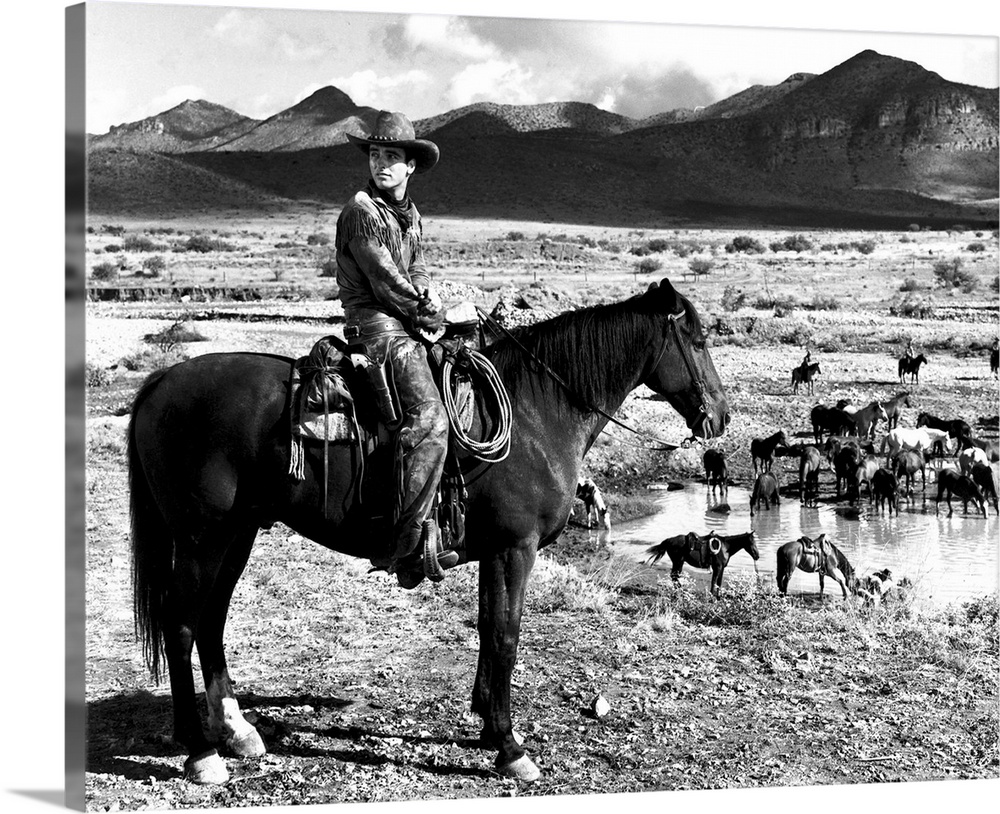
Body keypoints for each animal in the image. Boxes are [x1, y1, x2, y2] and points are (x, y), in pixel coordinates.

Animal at [129, 278, 732, 784]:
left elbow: (488, 628)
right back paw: (201, 753)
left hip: (239, 533)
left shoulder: (495, 551)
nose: (721, 417)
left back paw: (237, 733)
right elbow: (507, 636)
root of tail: (161, 381)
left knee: (210, 622)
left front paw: (487, 725)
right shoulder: (516, 549)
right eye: (698, 340)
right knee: (182, 625)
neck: (536, 413)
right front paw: (510, 749)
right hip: (203, 538)